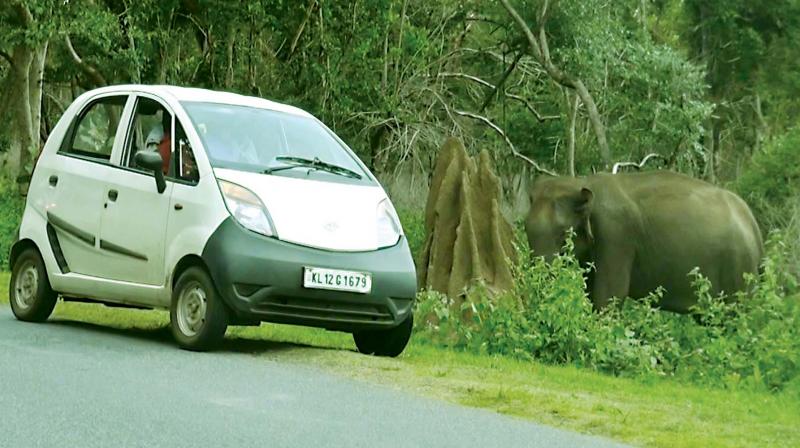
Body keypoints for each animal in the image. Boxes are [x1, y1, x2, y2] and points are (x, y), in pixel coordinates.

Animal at [524, 170, 764, 314]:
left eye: (563, 234)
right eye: (524, 228)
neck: (581, 183)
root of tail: (754, 224)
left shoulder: (616, 235)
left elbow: (608, 296)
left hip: (738, 270)